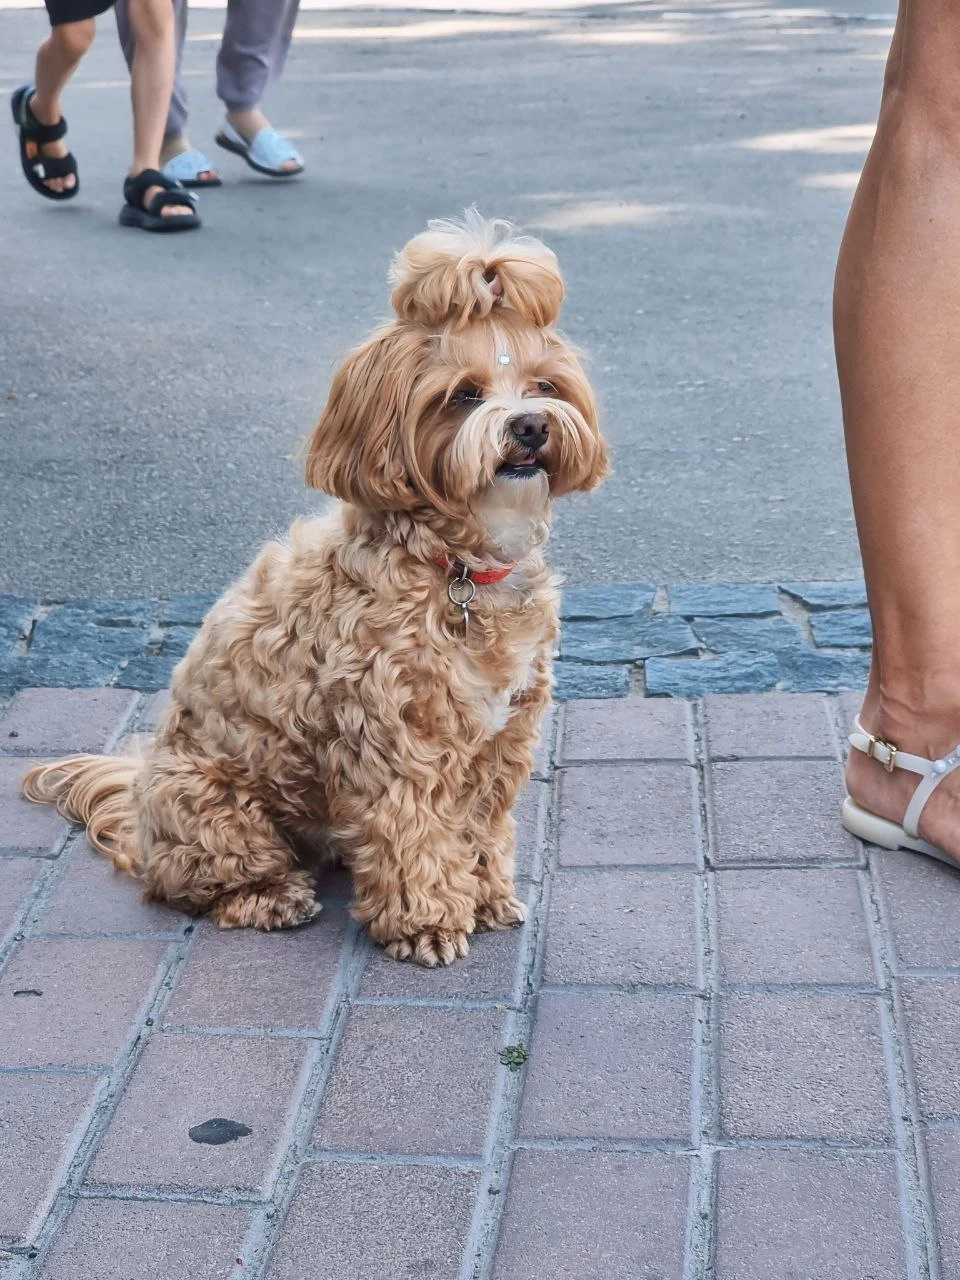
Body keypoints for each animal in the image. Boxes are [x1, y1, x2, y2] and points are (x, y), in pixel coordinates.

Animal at [22, 215, 611, 962]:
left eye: (545, 386)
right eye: (464, 395)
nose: (531, 425)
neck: (456, 564)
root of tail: (138, 804)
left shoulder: (500, 737)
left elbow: (479, 824)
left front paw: (485, 896)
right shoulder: (393, 739)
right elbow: (415, 831)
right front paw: (427, 921)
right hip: (213, 803)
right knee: (194, 885)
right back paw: (269, 895)